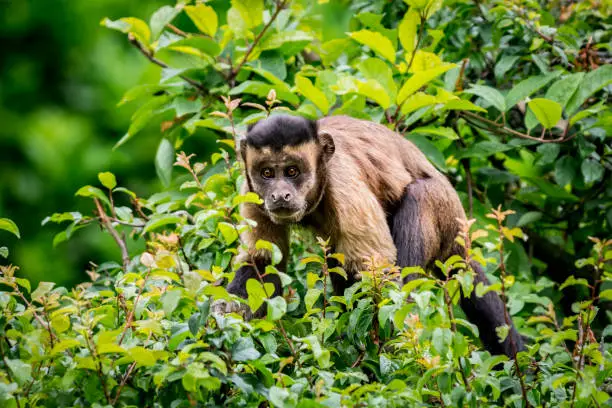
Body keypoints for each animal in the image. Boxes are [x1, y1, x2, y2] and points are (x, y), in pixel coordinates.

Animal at [218, 114, 524, 356]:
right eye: (267, 173)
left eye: (292, 171)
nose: (280, 194)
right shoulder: (251, 191)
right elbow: (262, 263)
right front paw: (226, 314)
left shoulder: (343, 183)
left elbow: (378, 275)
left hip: (443, 207)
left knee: (417, 201)